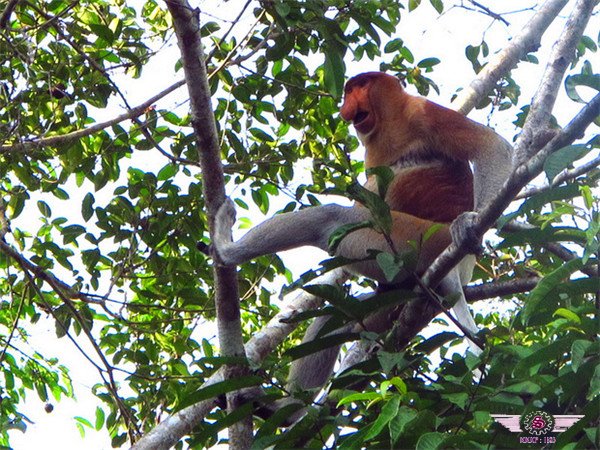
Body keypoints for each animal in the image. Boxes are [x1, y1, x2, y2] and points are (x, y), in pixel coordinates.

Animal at [210, 71, 510, 418]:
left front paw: (471, 223)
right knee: (336, 318)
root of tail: (458, 271)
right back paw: (280, 408)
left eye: (360, 87)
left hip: (412, 242)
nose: (347, 105)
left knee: (331, 219)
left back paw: (225, 249)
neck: (390, 119)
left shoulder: (423, 113)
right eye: (349, 90)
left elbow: (491, 146)